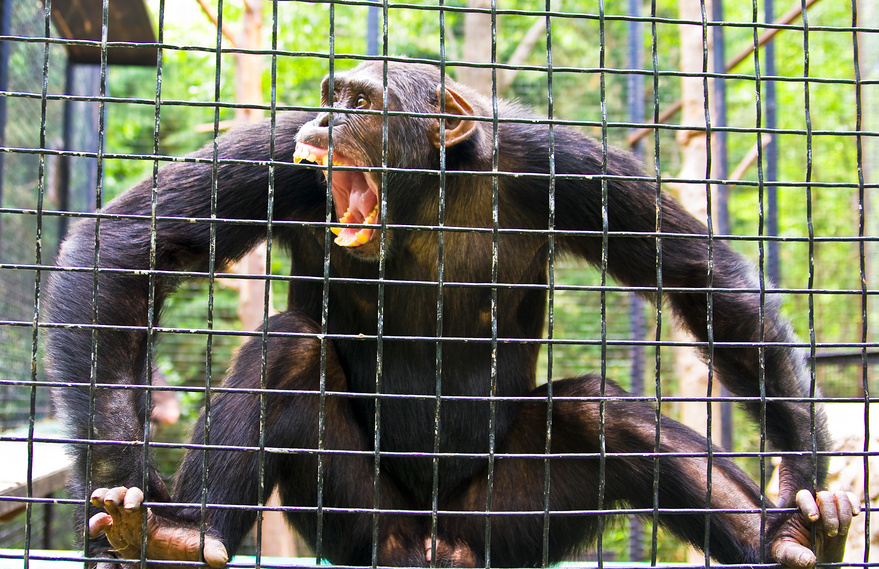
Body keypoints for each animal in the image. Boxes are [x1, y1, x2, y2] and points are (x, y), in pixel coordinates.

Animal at [46, 62, 860, 568]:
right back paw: (174, 539)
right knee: (291, 348)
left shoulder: (564, 164)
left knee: (602, 413)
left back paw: (788, 538)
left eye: (359, 103)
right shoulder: (278, 151)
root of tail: (435, 546)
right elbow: (134, 244)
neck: (425, 192)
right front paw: (125, 479)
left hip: (509, 525)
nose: (323, 119)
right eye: (329, 94)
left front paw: (798, 482)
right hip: (360, 527)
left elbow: (699, 279)